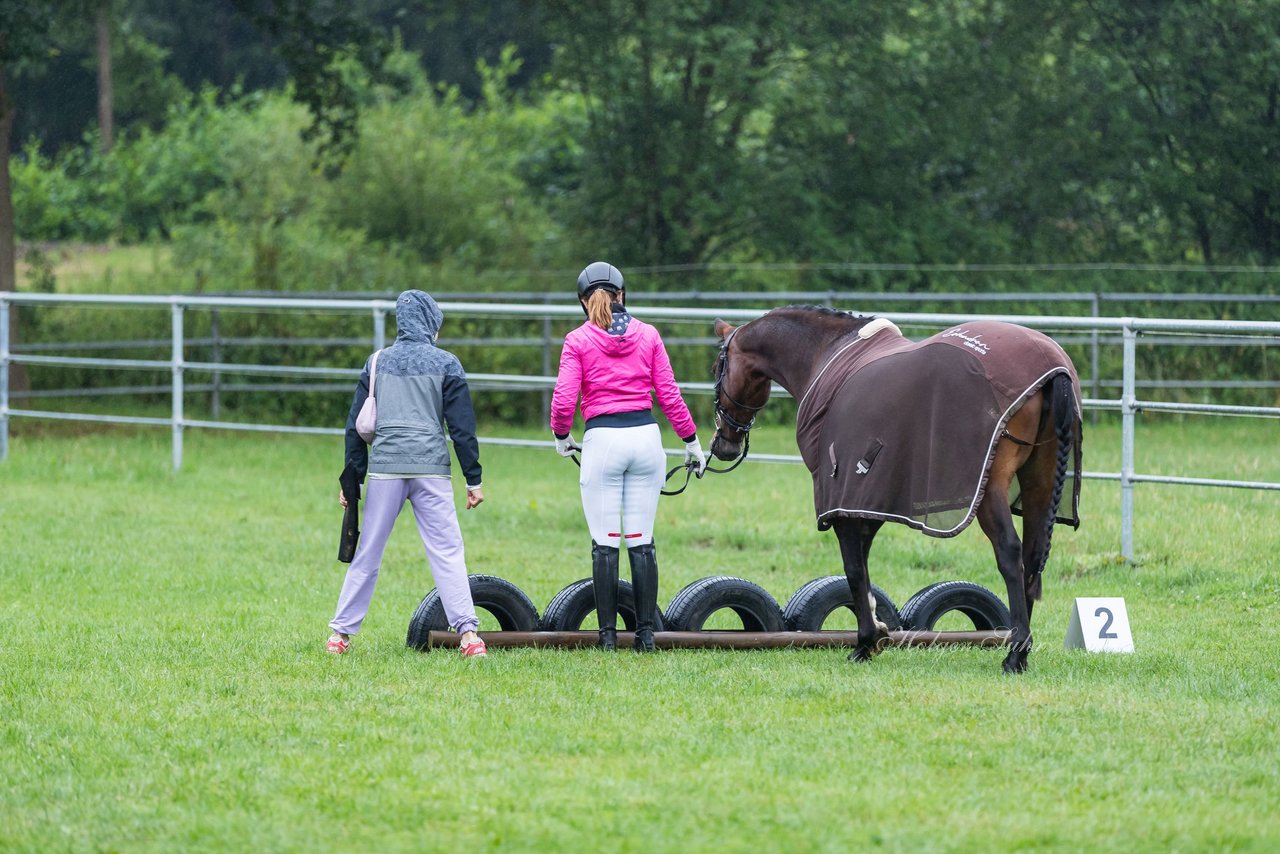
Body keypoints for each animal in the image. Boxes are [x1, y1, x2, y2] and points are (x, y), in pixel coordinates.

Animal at [711, 307, 1080, 676]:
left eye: (717, 368)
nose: (723, 446)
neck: (828, 355)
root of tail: (1052, 370)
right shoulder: (871, 498)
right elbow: (862, 563)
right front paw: (876, 633)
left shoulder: (841, 497)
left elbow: (854, 568)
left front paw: (865, 642)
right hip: (1039, 483)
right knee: (1032, 557)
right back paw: (1022, 648)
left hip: (991, 489)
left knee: (1009, 553)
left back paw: (1015, 654)